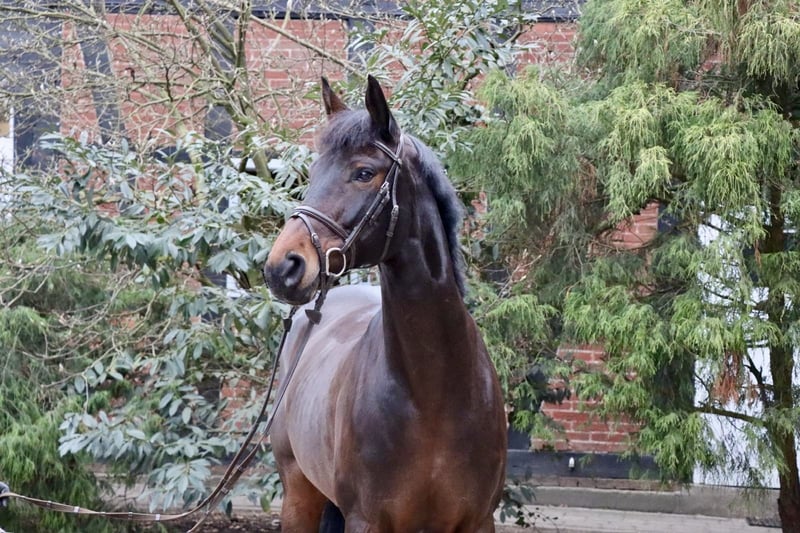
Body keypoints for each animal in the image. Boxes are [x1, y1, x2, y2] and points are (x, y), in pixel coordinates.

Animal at [262, 75, 507, 533]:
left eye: (364, 173)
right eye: (313, 174)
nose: (282, 267)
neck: (433, 394)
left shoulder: (478, 521)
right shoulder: (367, 521)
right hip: (299, 496)